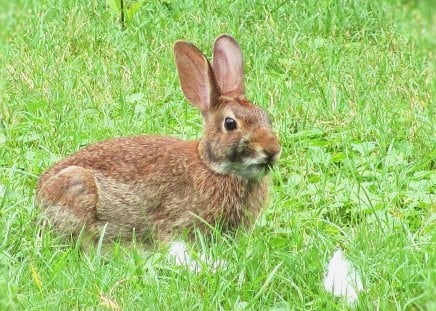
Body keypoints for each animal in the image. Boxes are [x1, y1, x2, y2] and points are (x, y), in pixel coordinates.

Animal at [37, 35, 282, 245]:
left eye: (266, 117)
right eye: (230, 124)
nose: (273, 150)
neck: (211, 166)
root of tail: (39, 197)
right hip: (78, 186)